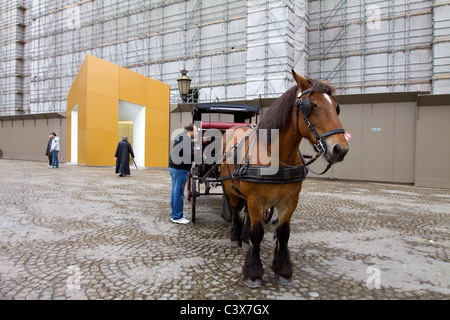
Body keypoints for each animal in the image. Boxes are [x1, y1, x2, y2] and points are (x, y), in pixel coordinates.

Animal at [220, 70, 350, 288]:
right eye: (311, 105)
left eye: (336, 107)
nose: (340, 149)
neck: (276, 157)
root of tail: (233, 128)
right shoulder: (255, 199)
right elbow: (258, 233)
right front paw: (253, 272)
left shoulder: (290, 200)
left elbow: (283, 233)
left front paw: (283, 270)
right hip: (230, 189)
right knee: (236, 210)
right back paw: (235, 236)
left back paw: (244, 237)